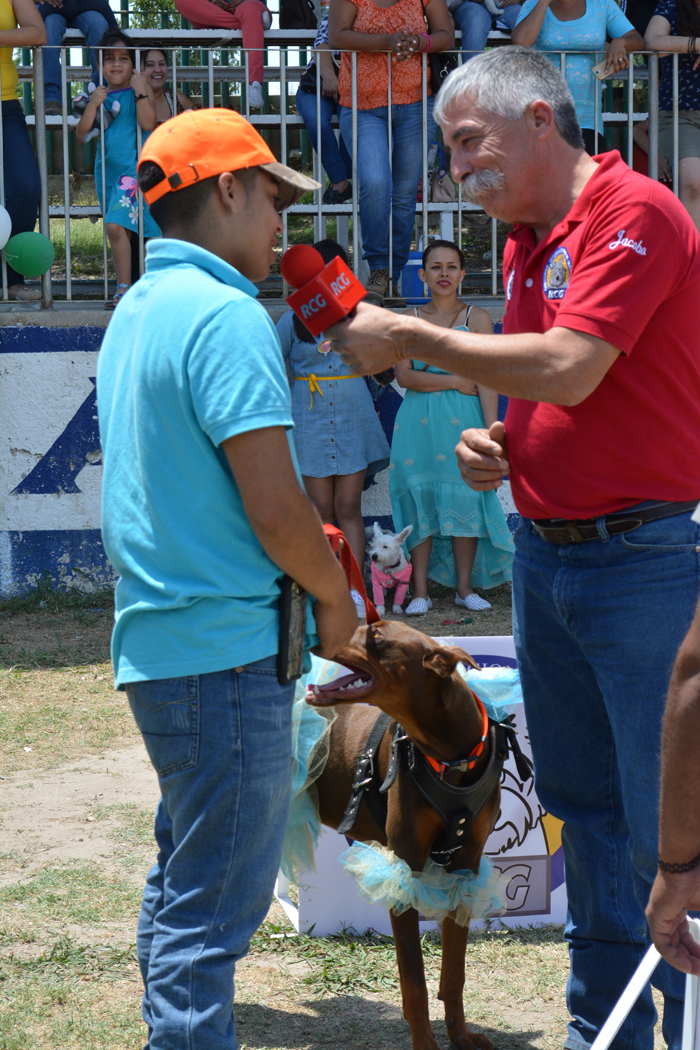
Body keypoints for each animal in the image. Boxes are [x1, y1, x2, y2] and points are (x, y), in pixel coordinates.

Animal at [307, 619, 509, 1050]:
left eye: (377, 636)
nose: (315, 629)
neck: (451, 757)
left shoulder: (465, 867)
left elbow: (454, 973)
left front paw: (461, 1035)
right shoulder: (404, 870)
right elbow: (414, 982)